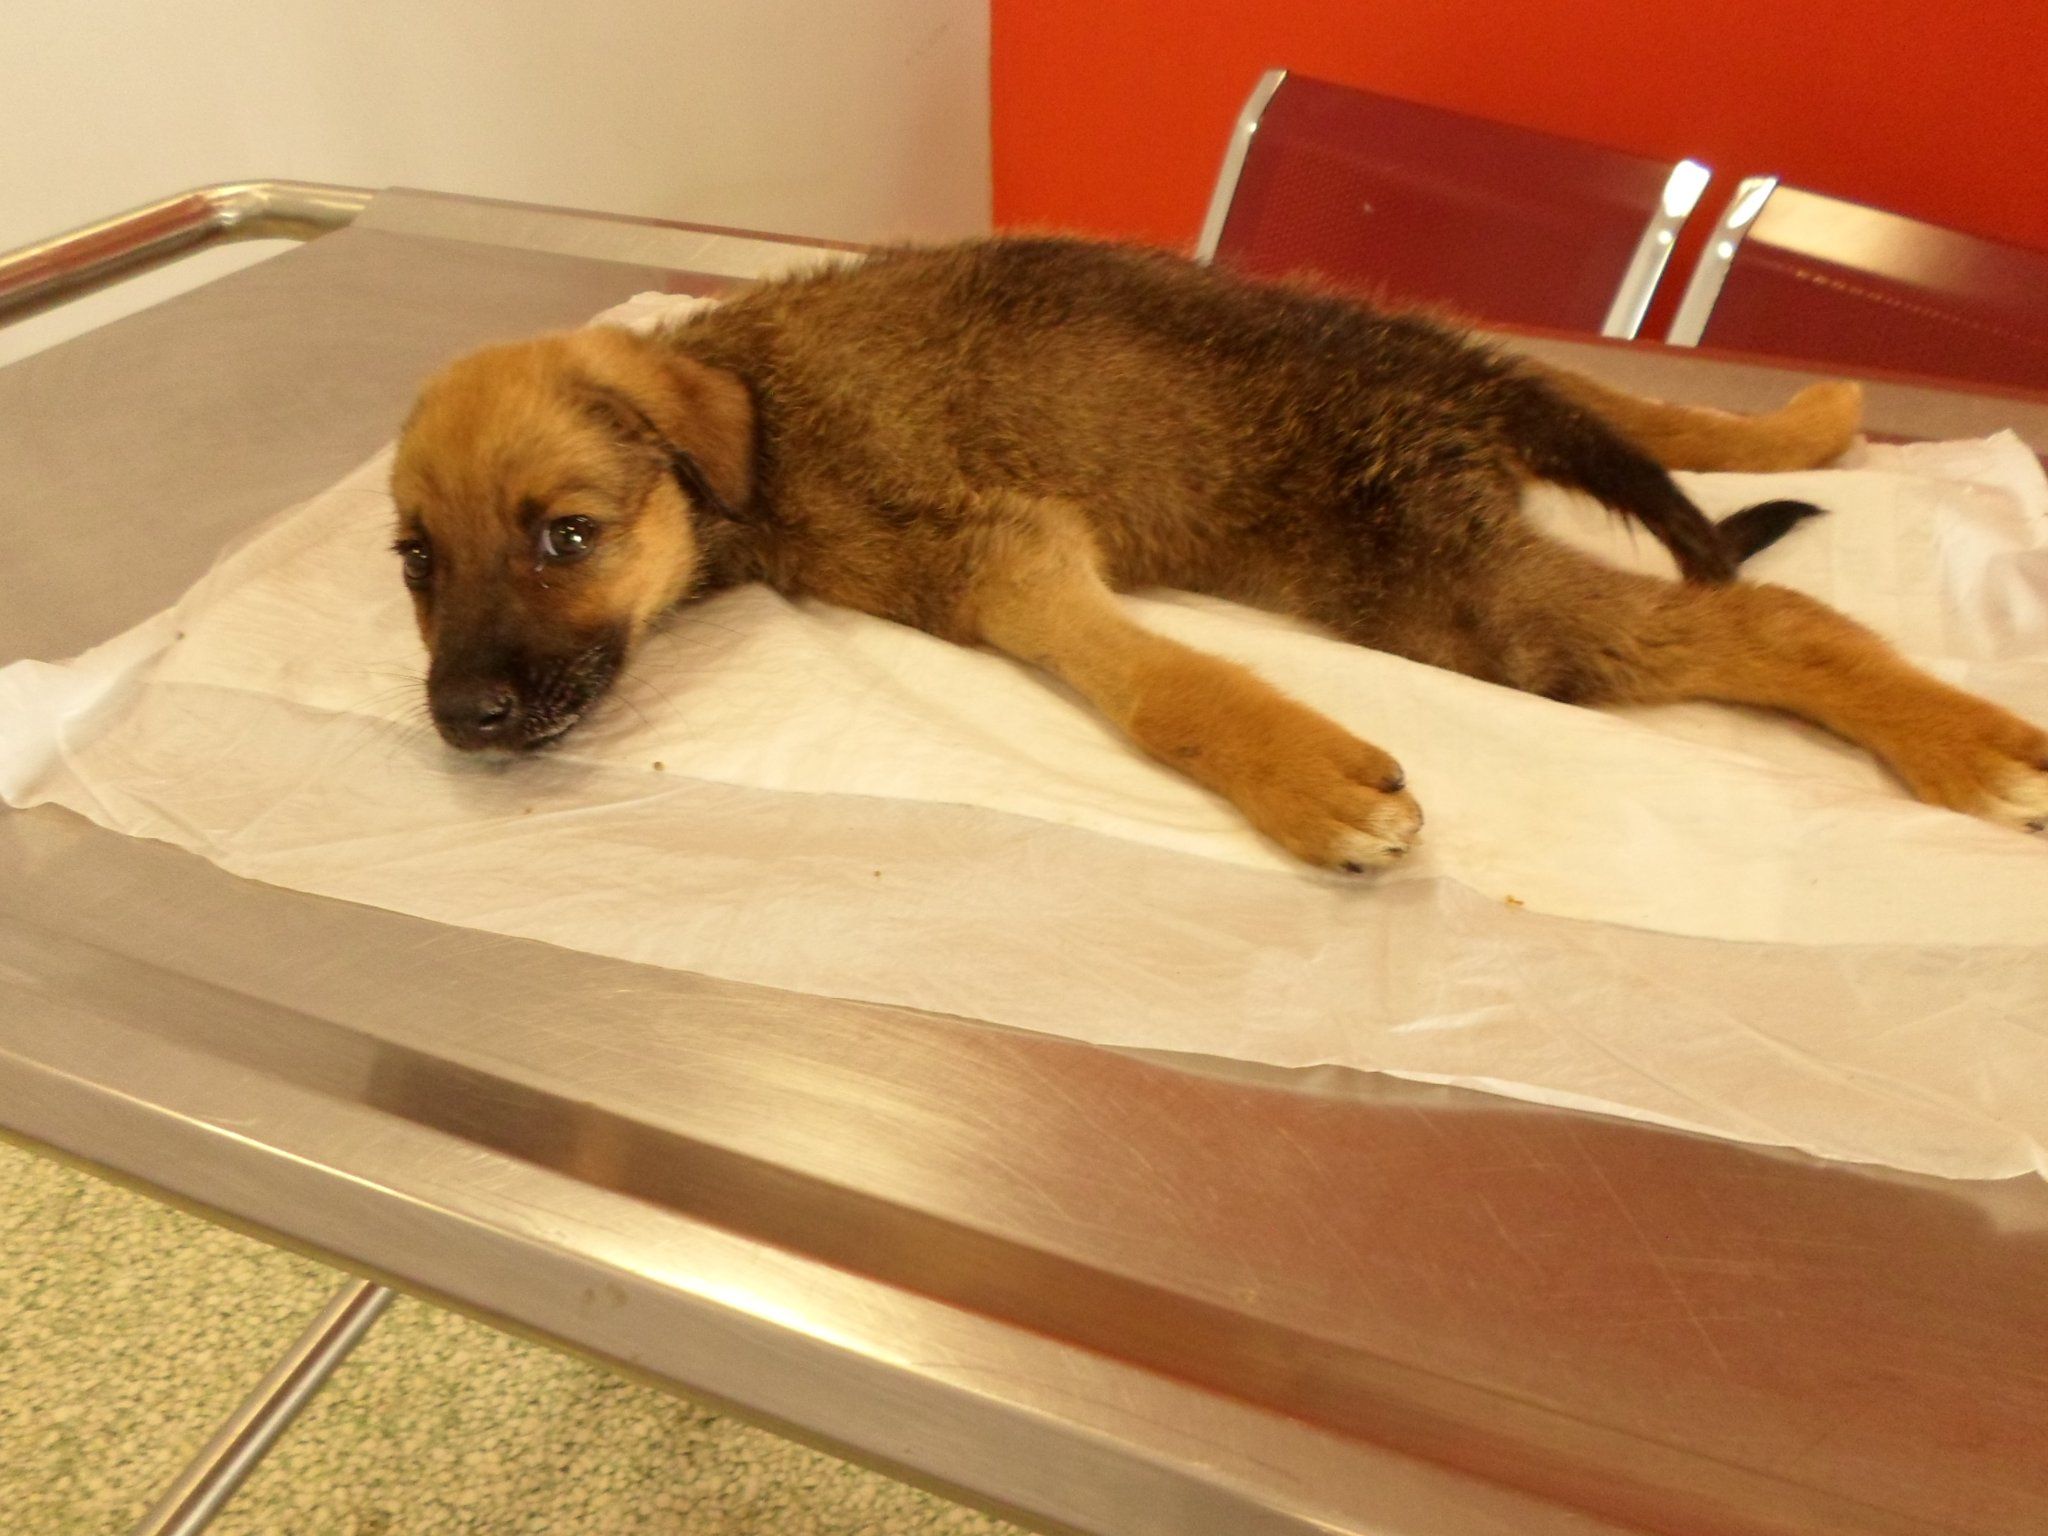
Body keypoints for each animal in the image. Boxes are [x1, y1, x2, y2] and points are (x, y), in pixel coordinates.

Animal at [388, 236, 2048, 870]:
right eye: (413, 561)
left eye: (566, 536)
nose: (460, 721)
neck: (753, 417)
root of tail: (1461, 395)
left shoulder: (1000, 556)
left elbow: (1158, 687)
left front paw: (1296, 778)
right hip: (1485, 428)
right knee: (1649, 408)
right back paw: (1815, 420)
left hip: (1469, 604)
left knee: (1779, 624)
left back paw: (1962, 746)